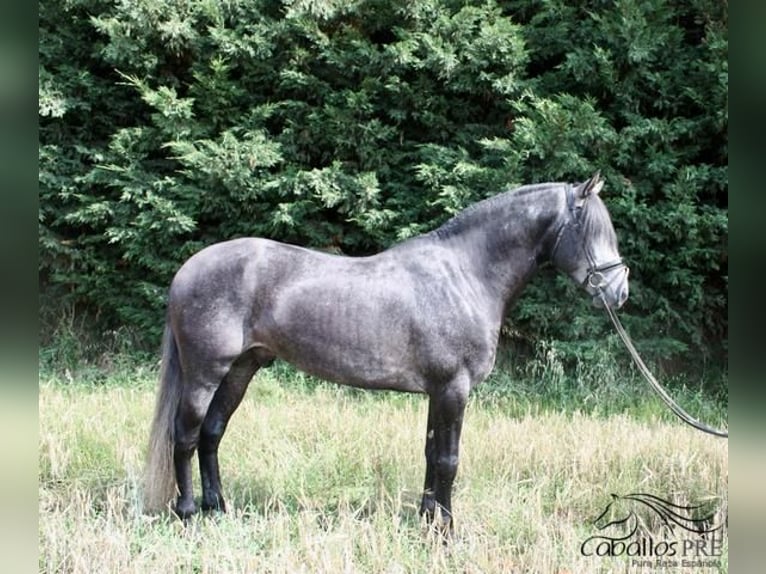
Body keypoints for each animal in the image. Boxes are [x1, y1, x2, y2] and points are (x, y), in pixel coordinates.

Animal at [142, 173, 632, 532]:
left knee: (212, 433)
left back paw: (218, 508)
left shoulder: (439, 391)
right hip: (205, 373)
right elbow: (449, 460)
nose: (619, 291)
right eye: (593, 231)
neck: (464, 274)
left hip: (242, 369)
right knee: (185, 437)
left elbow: (432, 454)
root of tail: (188, 270)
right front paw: (446, 531)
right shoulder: (453, 388)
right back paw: (188, 514)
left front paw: (427, 519)